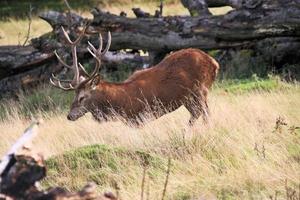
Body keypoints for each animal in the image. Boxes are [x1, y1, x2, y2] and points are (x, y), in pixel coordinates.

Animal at [49, 27, 218, 125]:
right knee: (196, 115)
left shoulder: (140, 117)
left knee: (206, 114)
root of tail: (214, 62)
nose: (69, 116)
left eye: (82, 97)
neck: (120, 102)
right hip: (187, 98)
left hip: (200, 90)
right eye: (74, 95)